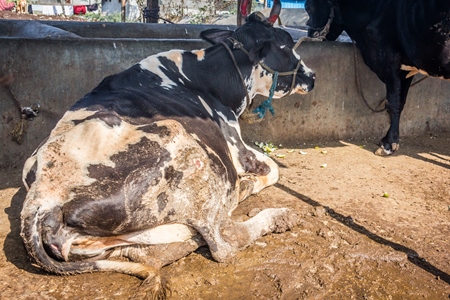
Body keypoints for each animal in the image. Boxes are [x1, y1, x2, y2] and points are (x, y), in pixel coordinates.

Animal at [21, 10, 314, 298]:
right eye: (285, 44)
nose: (312, 76)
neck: (210, 78)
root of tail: (40, 199)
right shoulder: (236, 146)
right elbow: (272, 168)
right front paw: (251, 183)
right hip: (180, 138)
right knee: (224, 239)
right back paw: (276, 215)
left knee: (146, 253)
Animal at [304, 0, 450, 155]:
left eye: (308, 8)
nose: (310, 35)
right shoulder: (405, 68)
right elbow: (401, 102)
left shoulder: (389, 59)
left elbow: (393, 103)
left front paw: (388, 144)